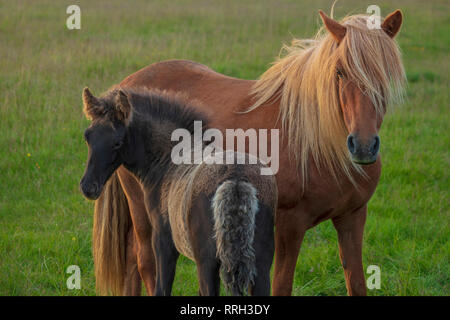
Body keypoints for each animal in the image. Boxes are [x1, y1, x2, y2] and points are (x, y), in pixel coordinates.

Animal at [81, 87, 278, 296]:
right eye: (87, 136)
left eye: (117, 142)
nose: (88, 186)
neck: (169, 158)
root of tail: (236, 179)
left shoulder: (163, 241)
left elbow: (162, 288)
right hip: (261, 262)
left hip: (207, 261)